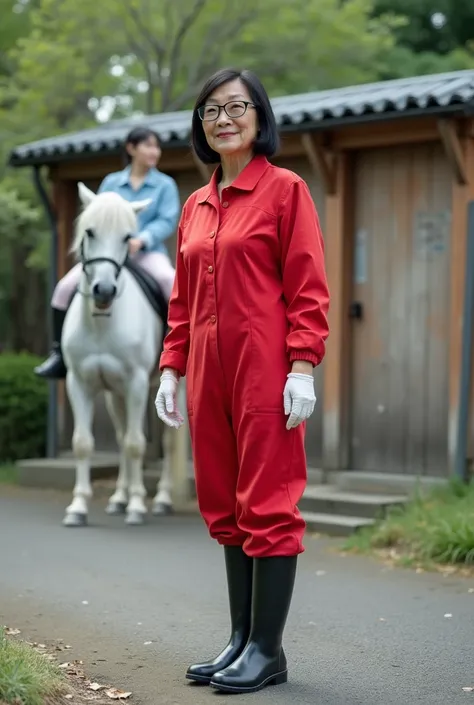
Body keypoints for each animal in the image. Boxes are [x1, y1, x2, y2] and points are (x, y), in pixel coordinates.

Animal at [61, 184, 176, 524]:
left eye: (127, 237)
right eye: (89, 231)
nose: (104, 291)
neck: (102, 322)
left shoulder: (136, 383)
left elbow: (136, 444)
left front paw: (138, 506)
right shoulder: (79, 383)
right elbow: (83, 443)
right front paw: (78, 507)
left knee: (165, 441)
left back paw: (161, 499)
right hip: (115, 394)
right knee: (123, 433)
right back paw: (118, 498)